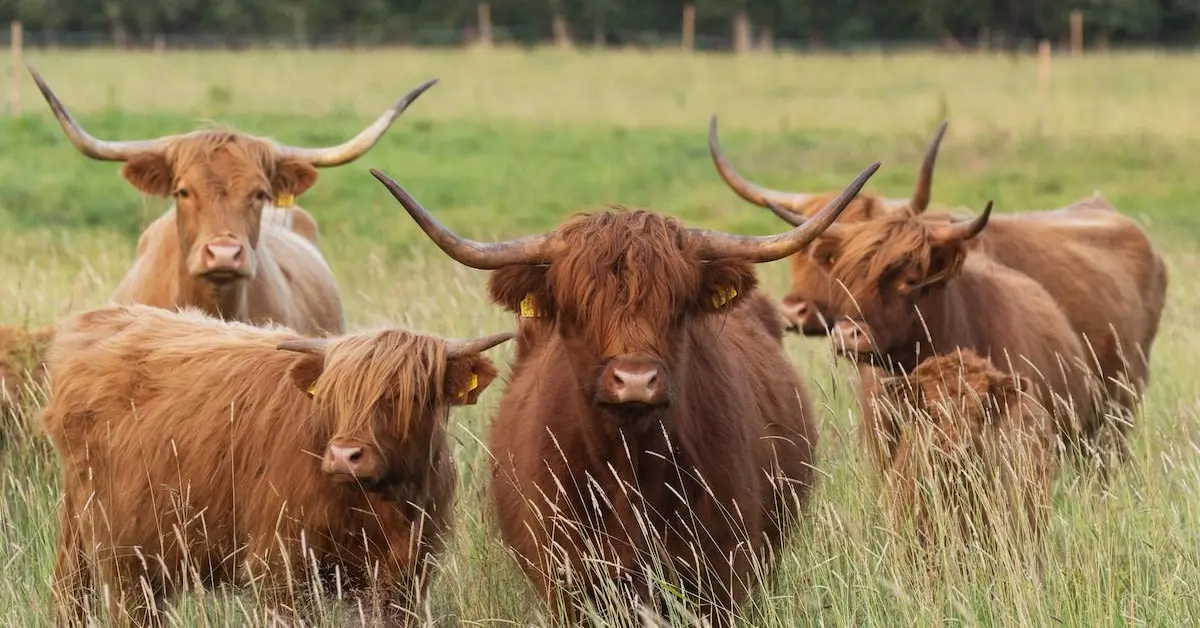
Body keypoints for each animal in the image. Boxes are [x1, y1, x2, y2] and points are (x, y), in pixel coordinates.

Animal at [40, 303, 512, 627]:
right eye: (333, 396)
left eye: (409, 395)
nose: (345, 456)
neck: (376, 505)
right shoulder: (282, 567)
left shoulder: (405, 577)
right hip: (117, 551)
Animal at [369, 161, 881, 627]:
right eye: (576, 309)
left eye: (677, 306)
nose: (635, 379)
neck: (628, 467)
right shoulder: (568, 582)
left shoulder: (721, 576)